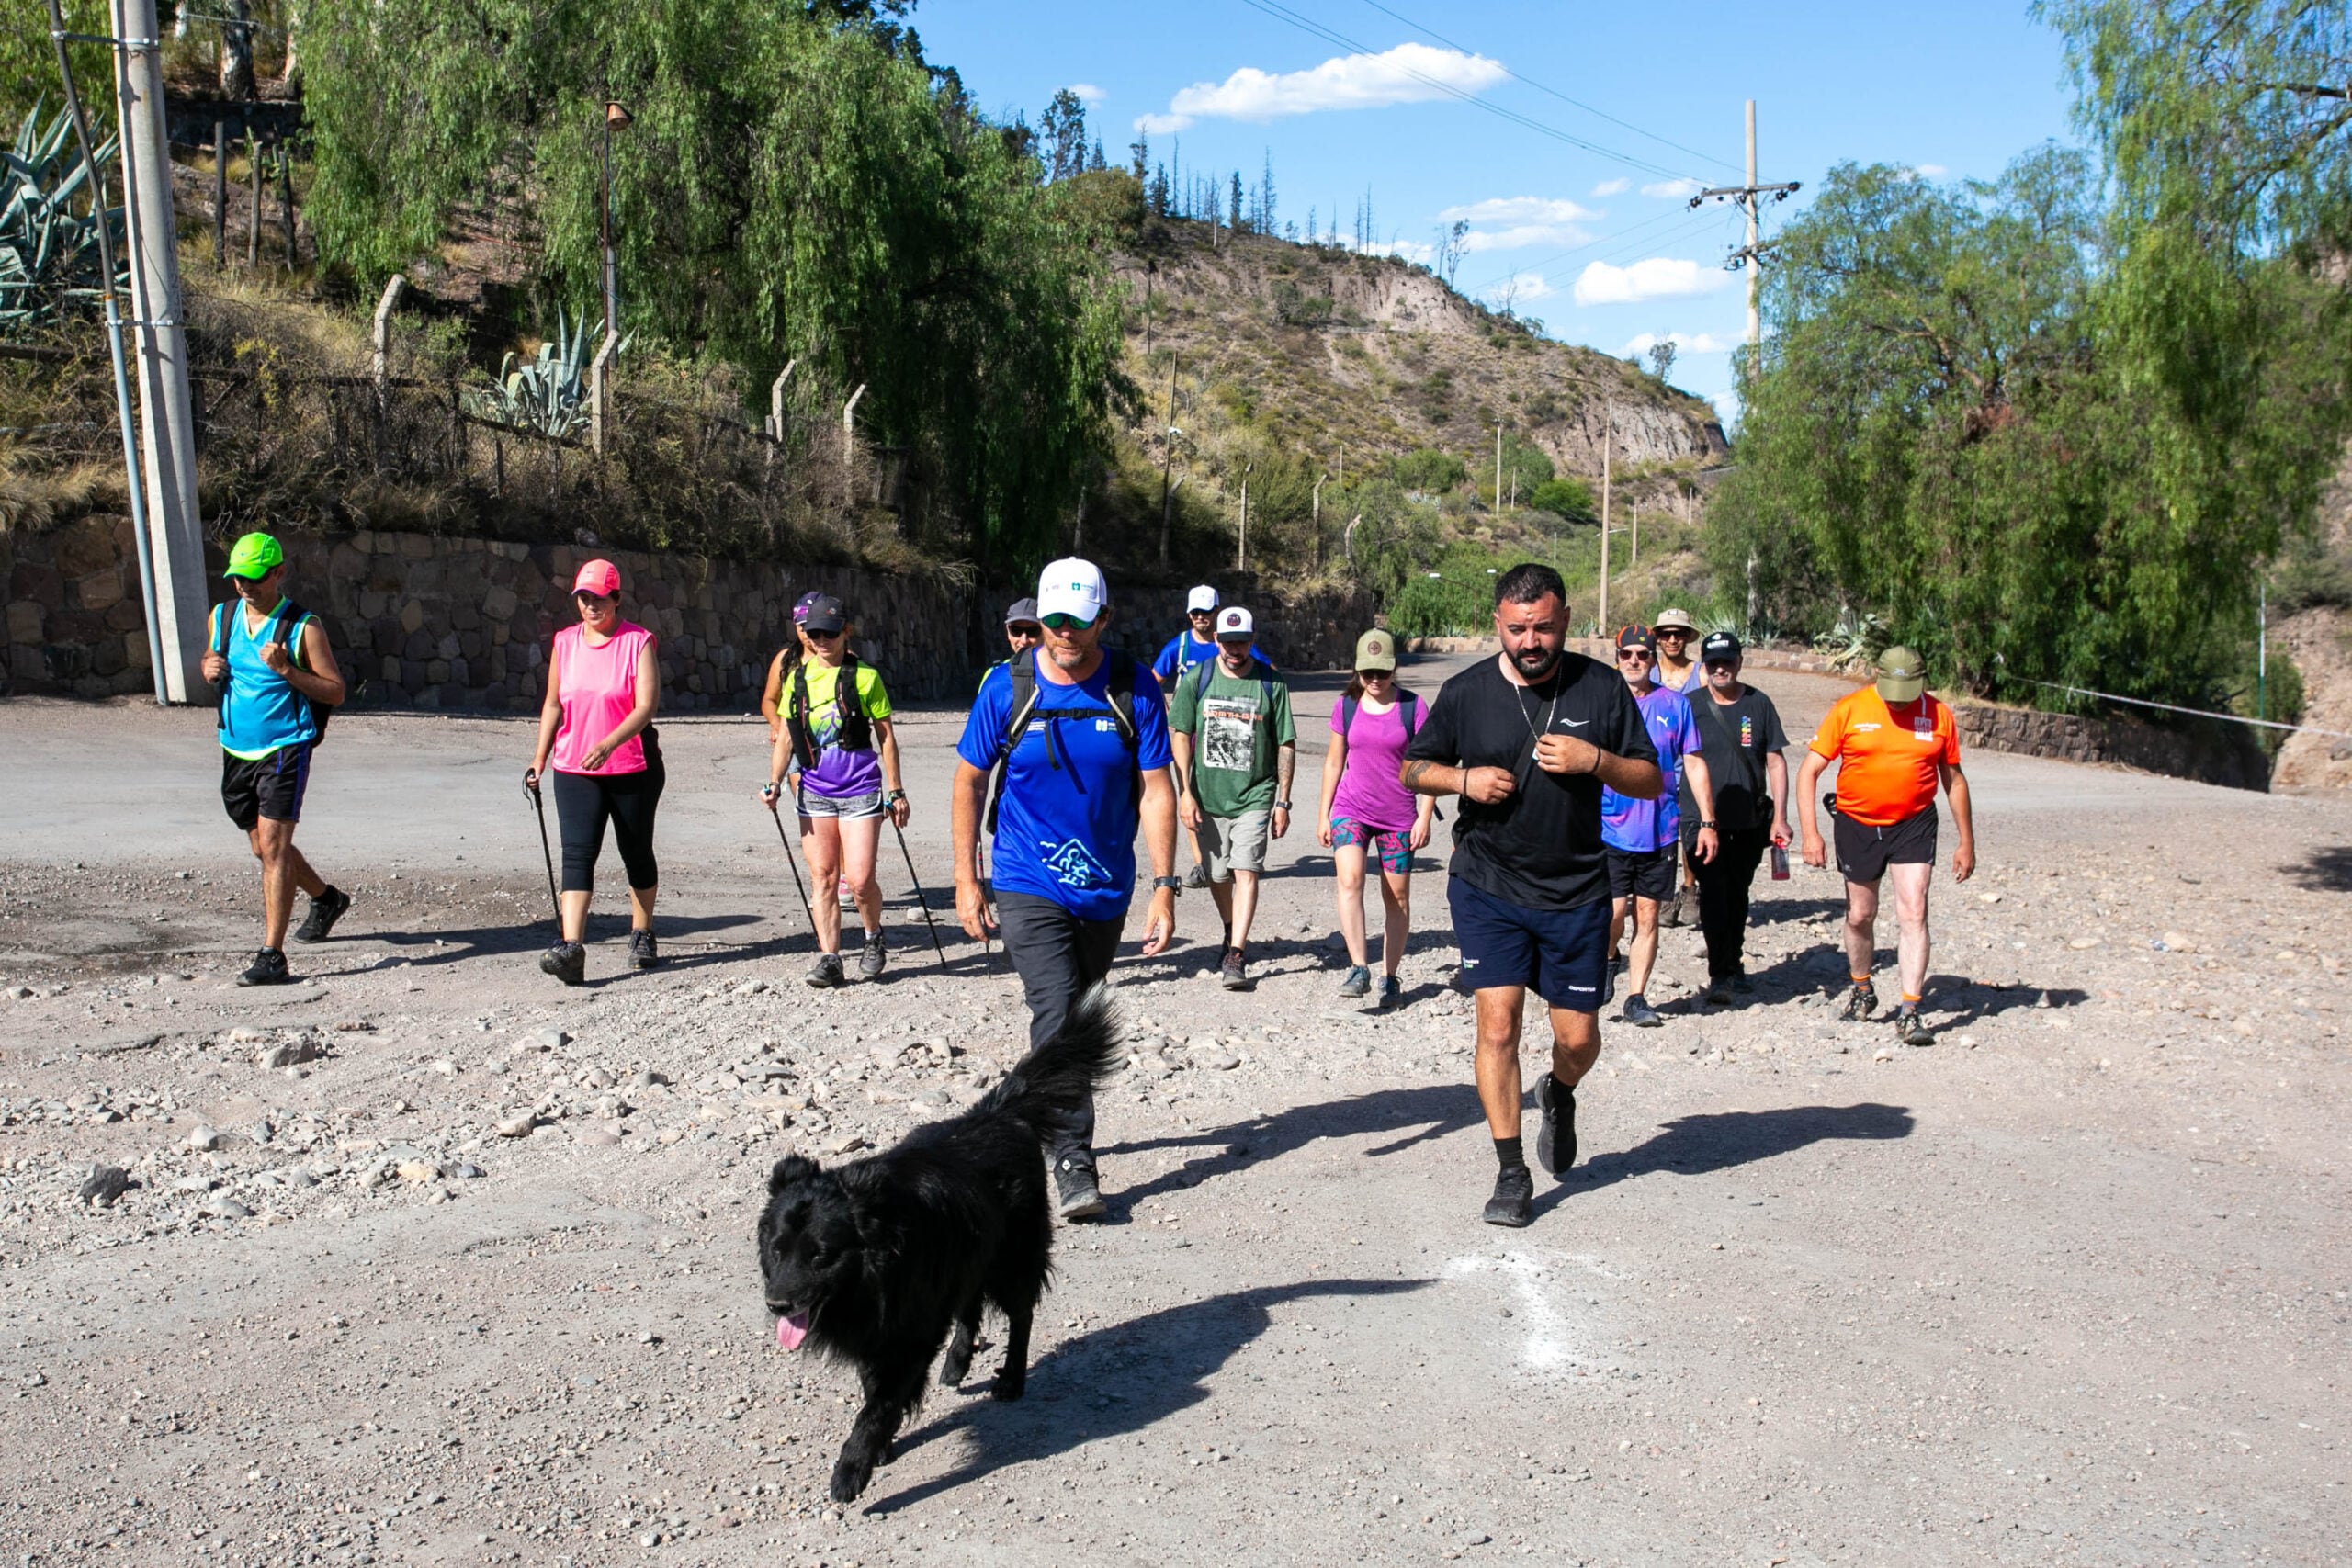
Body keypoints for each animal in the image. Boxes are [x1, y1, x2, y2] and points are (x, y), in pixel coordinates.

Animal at [752, 987, 1119, 1504]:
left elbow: (878, 1406)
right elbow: (874, 1388)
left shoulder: (911, 1332)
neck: (876, 1270)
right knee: (970, 1307)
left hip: (1013, 1257)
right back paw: (957, 1362)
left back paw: (1012, 1380)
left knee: (1020, 1316)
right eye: (777, 1250)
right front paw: (882, 1447)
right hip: (969, 1254)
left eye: (821, 1255)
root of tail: (995, 1115)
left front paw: (853, 1468)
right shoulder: (881, 1327)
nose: (777, 1304)